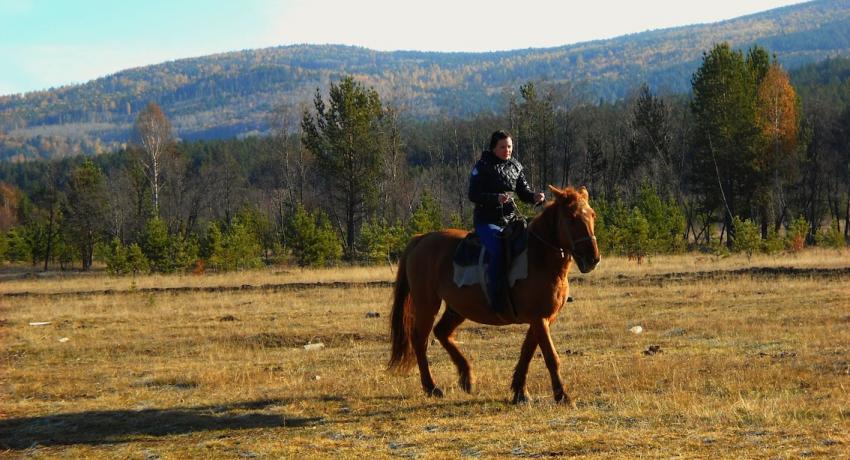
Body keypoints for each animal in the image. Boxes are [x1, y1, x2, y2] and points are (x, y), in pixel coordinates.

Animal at [388, 185, 600, 404]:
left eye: (592, 215)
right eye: (572, 218)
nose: (592, 258)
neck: (539, 257)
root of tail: (420, 239)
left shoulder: (544, 318)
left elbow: (527, 351)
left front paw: (520, 391)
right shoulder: (539, 318)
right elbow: (550, 356)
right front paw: (562, 395)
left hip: (457, 309)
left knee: (442, 333)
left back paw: (466, 377)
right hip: (427, 304)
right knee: (420, 340)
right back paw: (432, 387)